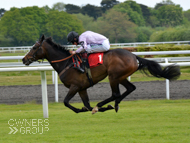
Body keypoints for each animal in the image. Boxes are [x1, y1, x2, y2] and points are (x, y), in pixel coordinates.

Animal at [22, 35, 181, 114]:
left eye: (34, 47)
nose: (24, 59)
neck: (66, 63)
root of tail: (133, 56)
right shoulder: (82, 88)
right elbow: (86, 104)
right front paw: (92, 108)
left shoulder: (75, 86)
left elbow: (67, 102)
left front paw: (82, 109)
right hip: (121, 77)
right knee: (130, 88)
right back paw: (115, 105)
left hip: (113, 76)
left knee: (116, 93)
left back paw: (104, 104)